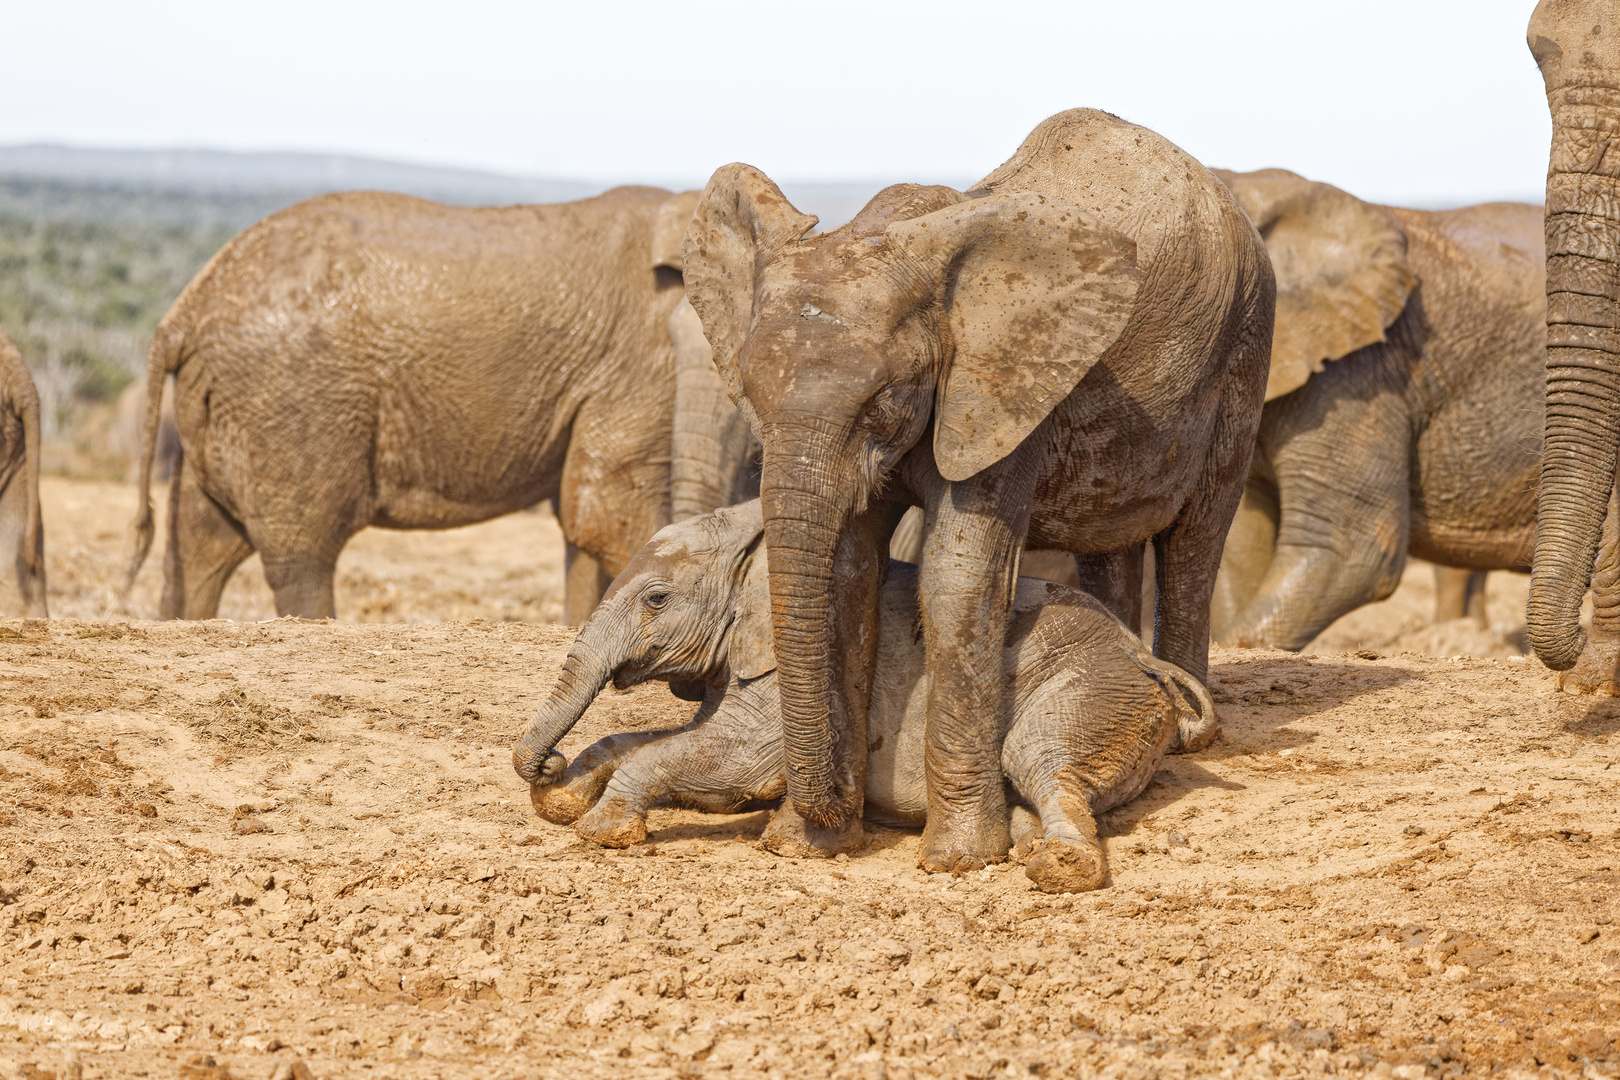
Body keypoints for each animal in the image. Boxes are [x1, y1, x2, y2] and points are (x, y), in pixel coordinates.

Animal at [126, 186, 703, 625]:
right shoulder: (642, 364)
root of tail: (183, 311)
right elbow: (611, 513)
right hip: (289, 403)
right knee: (301, 555)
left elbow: (586, 521)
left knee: (200, 547)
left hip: (225, 406)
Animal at [511, 501, 1211, 893]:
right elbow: (661, 739)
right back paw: (1024, 839)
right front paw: (568, 800)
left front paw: (601, 829)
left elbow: (742, 761)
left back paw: (1056, 867)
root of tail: (1145, 659)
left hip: (1095, 687)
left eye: (657, 598)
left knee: (1038, 754)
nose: (547, 764)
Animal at [677, 110, 1270, 867]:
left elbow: (958, 576)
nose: (829, 799)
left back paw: (1194, 738)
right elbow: (847, 570)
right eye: (748, 393)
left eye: (885, 397)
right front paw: (809, 842)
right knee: (1110, 542)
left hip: (1248, 338)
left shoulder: (1002, 391)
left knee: (1196, 536)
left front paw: (960, 857)